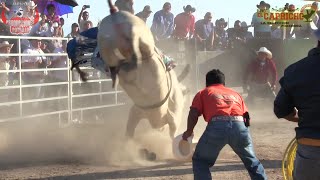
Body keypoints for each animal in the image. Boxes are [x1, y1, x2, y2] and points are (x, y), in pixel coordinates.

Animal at [72, 0, 190, 140]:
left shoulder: (137, 111)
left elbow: (129, 131)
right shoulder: (174, 118)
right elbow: (172, 133)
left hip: (107, 43)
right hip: (141, 39)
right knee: (142, 49)